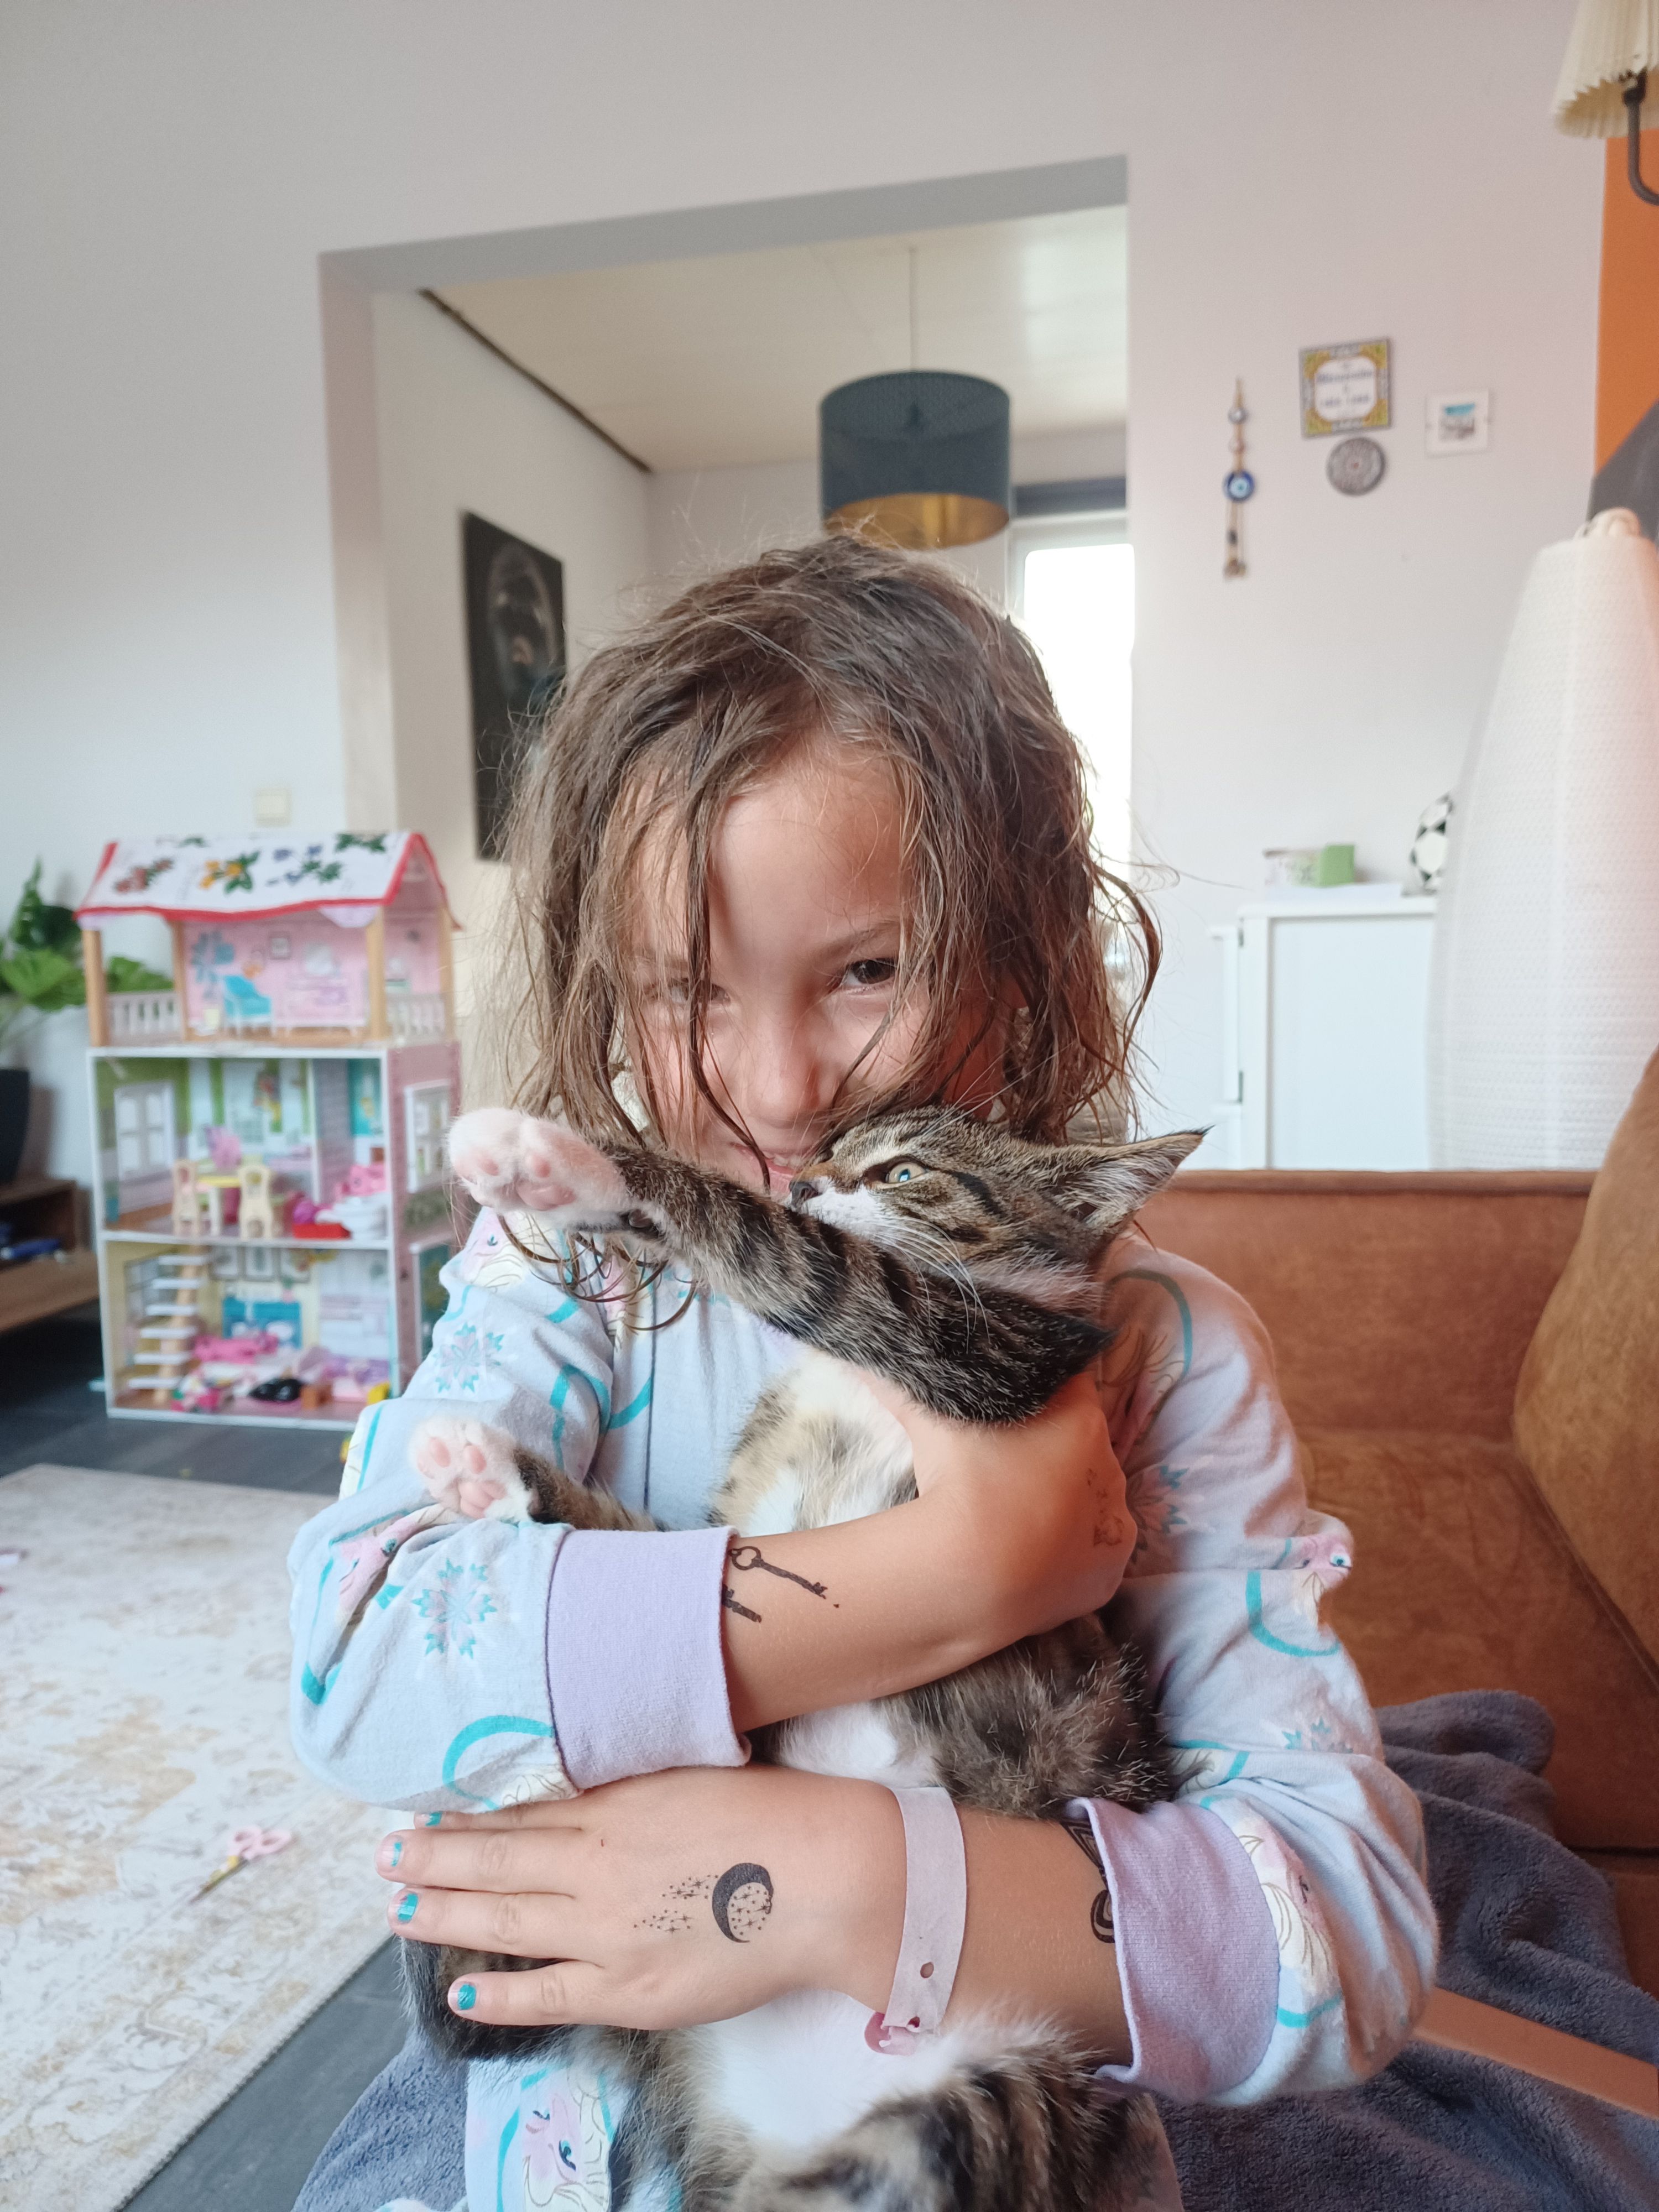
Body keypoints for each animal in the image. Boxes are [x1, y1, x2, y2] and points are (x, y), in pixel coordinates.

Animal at [402, 1104, 1201, 2212]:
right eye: (829, 1150)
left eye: (904, 1171)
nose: (808, 1183)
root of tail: (761, 2124)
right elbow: (669, 1562)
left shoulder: (986, 1349)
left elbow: (798, 1258)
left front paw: (571, 1160)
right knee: (469, 2016)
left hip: (998, 2101)